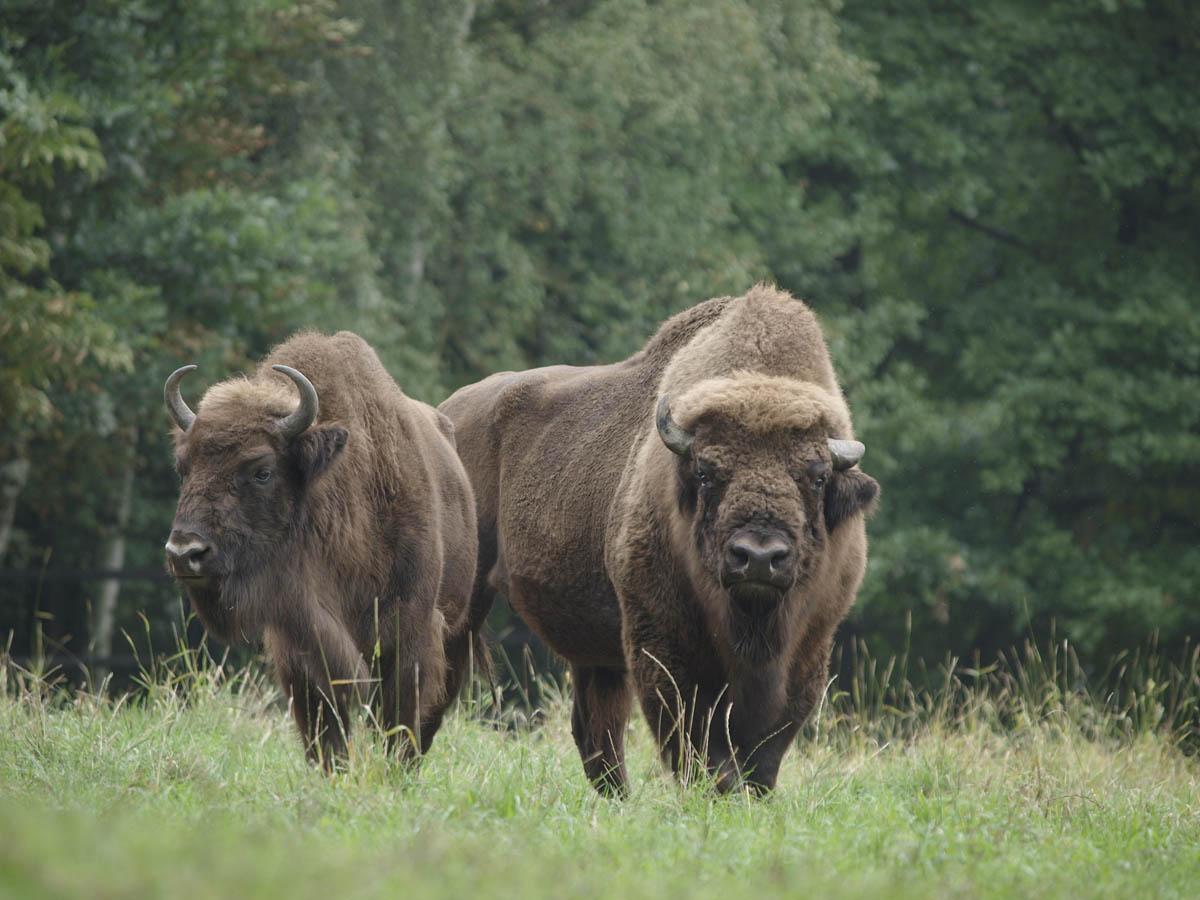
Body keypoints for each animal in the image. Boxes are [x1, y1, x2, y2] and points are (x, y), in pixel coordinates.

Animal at [165, 331, 482, 768]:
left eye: (262, 471)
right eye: (184, 467)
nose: (184, 552)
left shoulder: (410, 641)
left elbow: (397, 726)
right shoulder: (300, 648)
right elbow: (326, 736)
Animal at [436, 286, 878, 796]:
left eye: (819, 476)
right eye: (706, 471)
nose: (758, 558)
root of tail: (447, 413)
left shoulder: (809, 646)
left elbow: (768, 745)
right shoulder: (662, 642)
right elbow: (692, 738)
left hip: (595, 649)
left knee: (594, 730)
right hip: (464, 601)